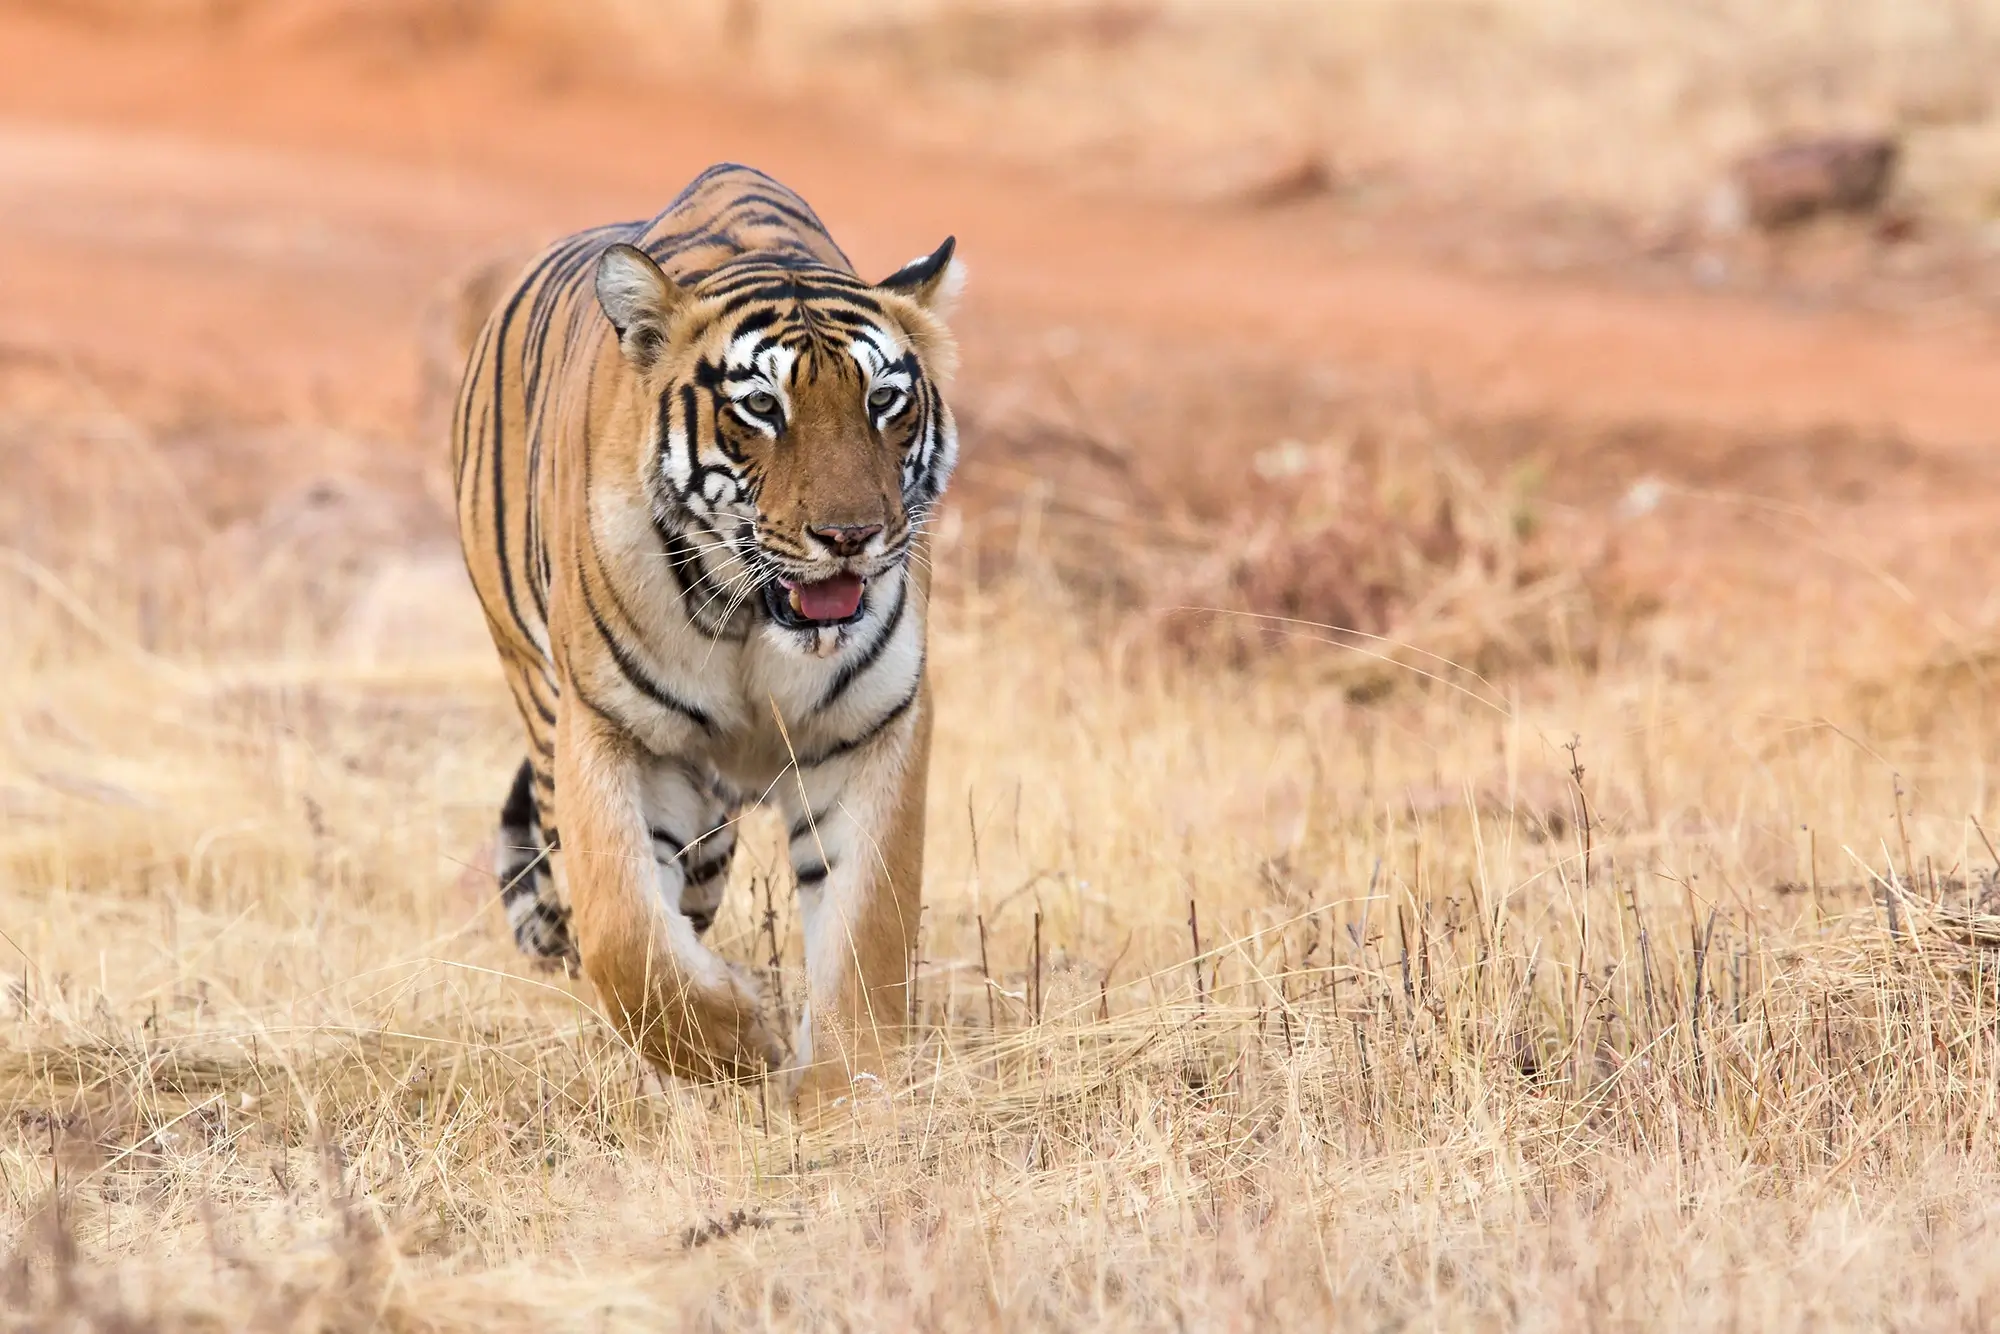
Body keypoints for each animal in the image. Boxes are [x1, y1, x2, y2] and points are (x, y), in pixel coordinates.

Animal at [448, 164, 960, 1104]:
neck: (757, 624)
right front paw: (737, 1044)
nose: (851, 536)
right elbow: (625, 935)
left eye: (883, 402)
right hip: (546, 701)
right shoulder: (610, 729)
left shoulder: (876, 724)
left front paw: (846, 1098)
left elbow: (867, 933)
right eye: (762, 407)